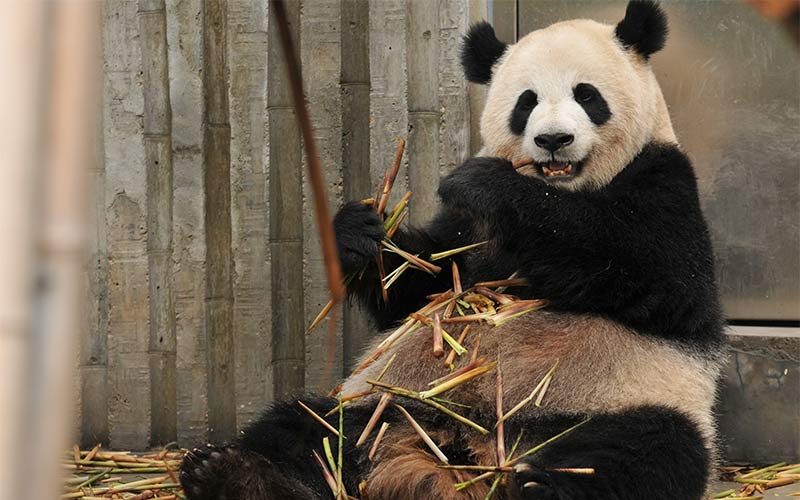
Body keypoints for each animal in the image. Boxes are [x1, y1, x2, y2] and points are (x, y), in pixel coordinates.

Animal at [180, 2, 726, 499]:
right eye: (526, 102)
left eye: (587, 95)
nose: (553, 140)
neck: (565, 188)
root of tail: (466, 452)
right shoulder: (465, 233)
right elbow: (424, 288)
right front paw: (361, 231)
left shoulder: (665, 183)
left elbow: (656, 274)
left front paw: (489, 183)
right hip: (392, 402)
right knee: (308, 429)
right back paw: (229, 475)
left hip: (618, 402)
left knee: (640, 454)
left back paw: (540, 488)